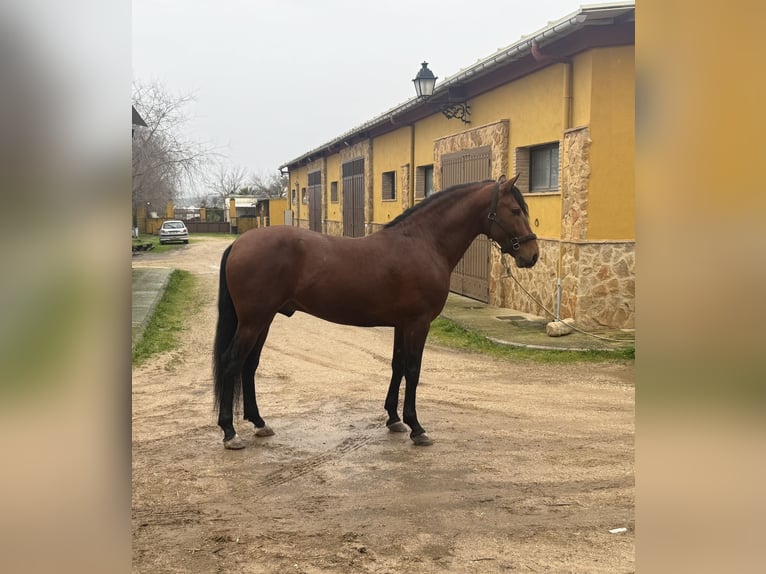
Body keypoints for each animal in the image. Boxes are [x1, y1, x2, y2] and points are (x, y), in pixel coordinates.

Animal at [213, 174, 539, 449]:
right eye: (515, 210)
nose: (532, 255)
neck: (423, 242)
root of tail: (238, 244)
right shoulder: (418, 323)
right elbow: (413, 370)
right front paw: (417, 427)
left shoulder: (402, 324)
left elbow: (397, 367)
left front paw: (394, 419)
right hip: (253, 321)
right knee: (232, 363)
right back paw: (230, 432)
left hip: (263, 320)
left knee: (249, 366)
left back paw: (259, 423)